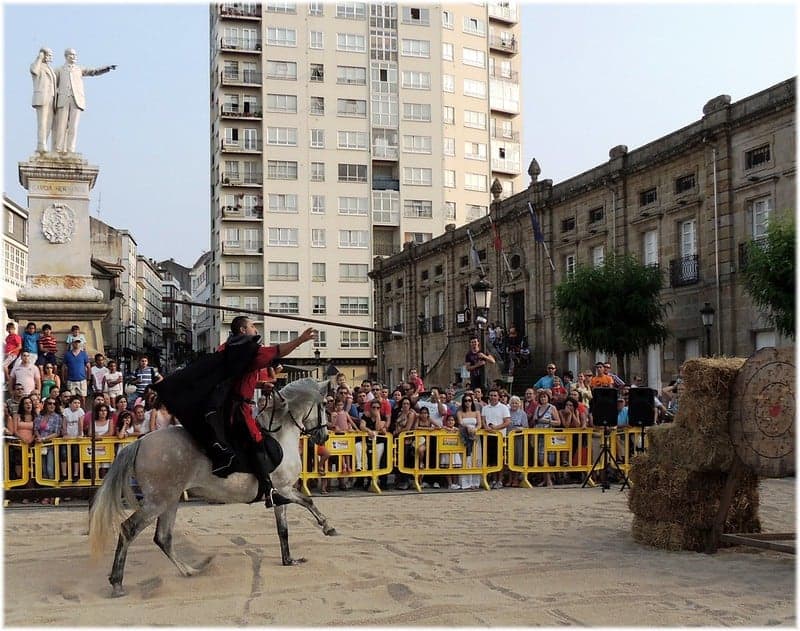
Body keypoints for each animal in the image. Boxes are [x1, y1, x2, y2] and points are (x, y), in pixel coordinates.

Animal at [86, 378, 334, 600]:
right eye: (324, 405)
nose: (324, 436)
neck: (281, 436)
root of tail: (140, 442)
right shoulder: (283, 489)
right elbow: (307, 502)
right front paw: (327, 527)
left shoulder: (280, 495)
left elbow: (283, 529)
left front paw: (289, 560)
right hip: (157, 502)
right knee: (129, 529)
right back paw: (117, 583)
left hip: (170, 500)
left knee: (163, 538)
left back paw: (191, 570)